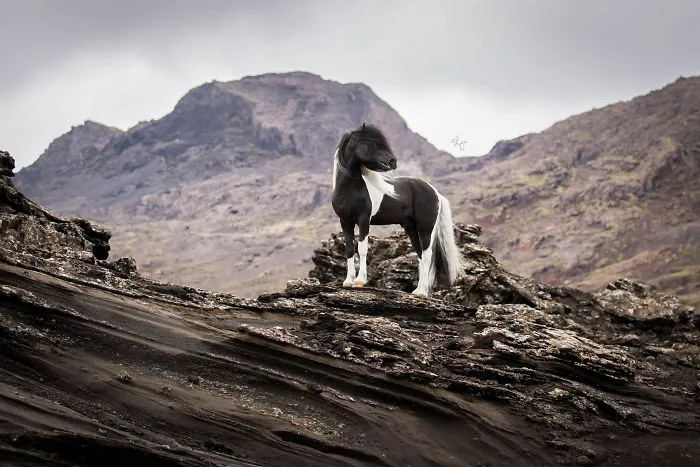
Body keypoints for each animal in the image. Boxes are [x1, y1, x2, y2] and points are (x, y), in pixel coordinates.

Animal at [331, 123, 464, 295]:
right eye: (370, 142)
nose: (393, 161)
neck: (349, 189)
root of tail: (435, 192)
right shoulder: (345, 221)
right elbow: (349, 249)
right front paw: (348, 281)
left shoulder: (363, 220)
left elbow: (362, 249)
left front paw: (359, 282)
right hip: (411, 227)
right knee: (420, 256)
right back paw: (417, 290)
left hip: (425, 228)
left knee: (427, 256)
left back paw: (423, 292)